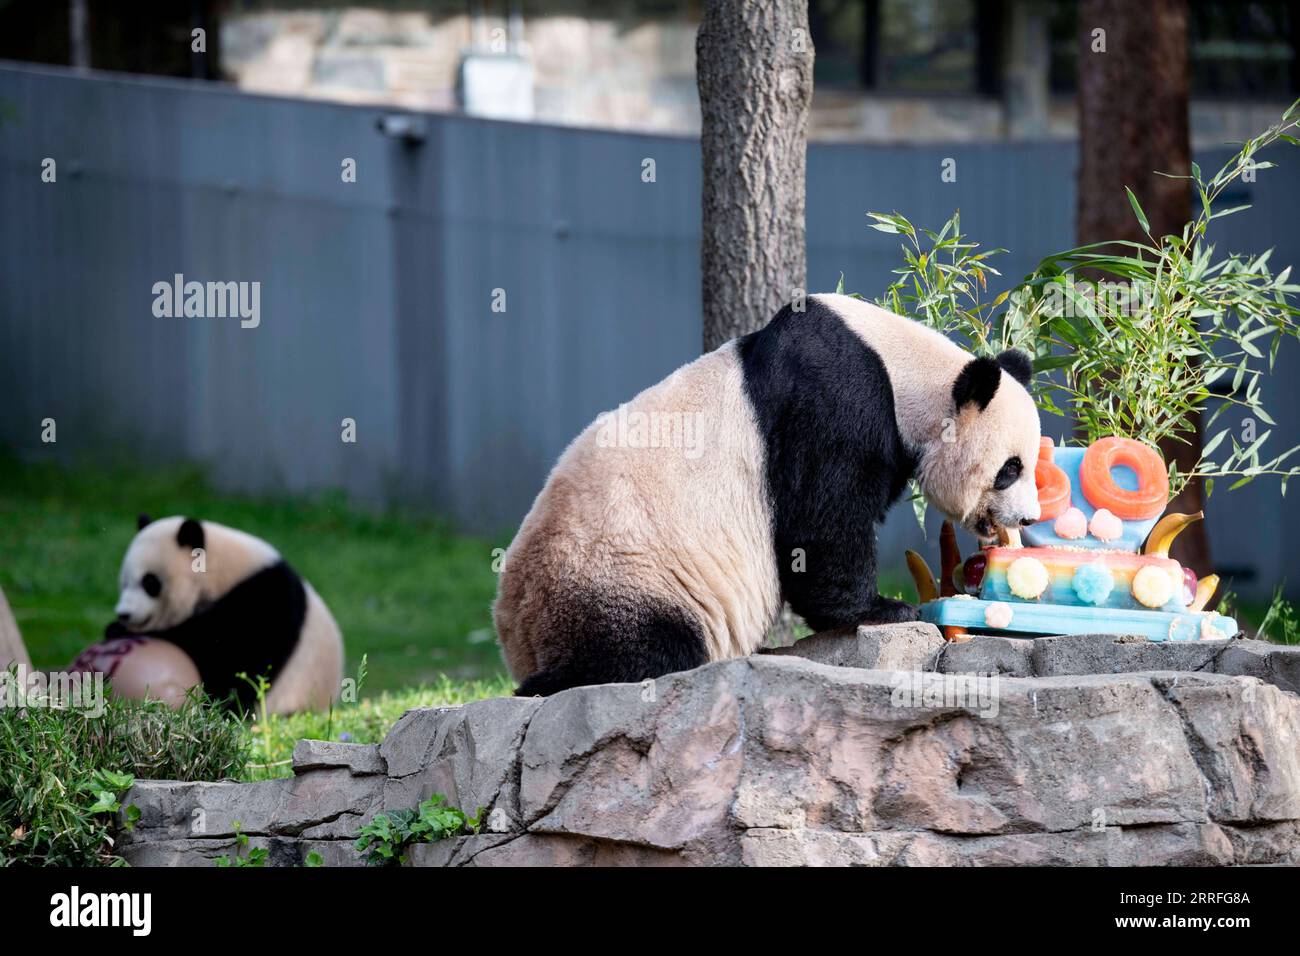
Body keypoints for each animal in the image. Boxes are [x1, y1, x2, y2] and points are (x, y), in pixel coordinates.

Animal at [491, 291, 1040, 697]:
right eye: (1010, 469)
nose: (1028, 519)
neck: (904, 368)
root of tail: (516, 633)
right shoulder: (834, 401)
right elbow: (821, 522)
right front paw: (882, 608)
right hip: (624, 573)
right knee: (645, 648)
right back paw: (550, 682)